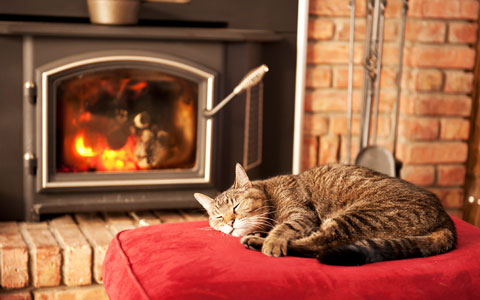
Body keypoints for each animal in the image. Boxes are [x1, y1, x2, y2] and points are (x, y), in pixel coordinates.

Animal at [193, 164, 456, 264]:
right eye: (218, 217)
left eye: (236, 206)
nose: (229, 222)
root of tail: (446, 217)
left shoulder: (302, 215)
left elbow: (284, 228)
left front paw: (271, 240)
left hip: (356, 216)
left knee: (318, 245)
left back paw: (258, 243)